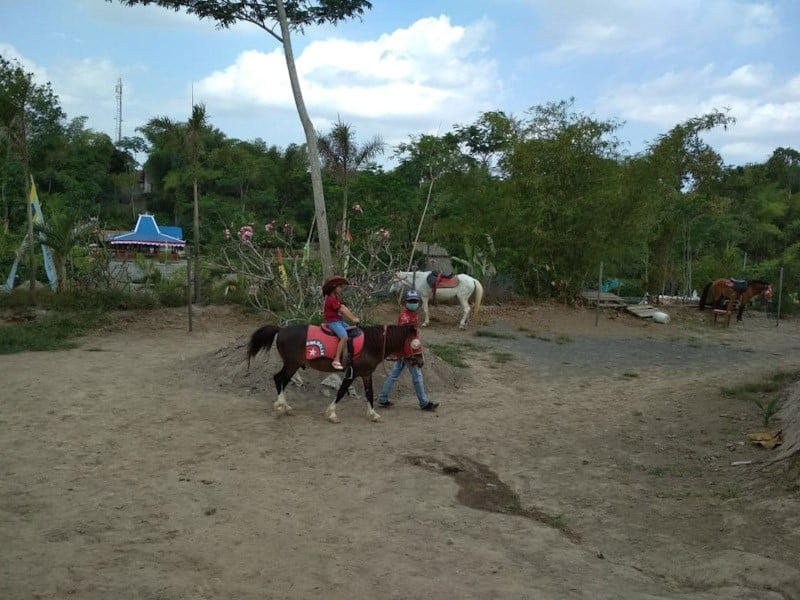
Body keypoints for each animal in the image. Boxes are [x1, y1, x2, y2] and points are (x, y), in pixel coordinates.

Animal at [247, 324, 416, 422]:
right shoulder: (352, 374)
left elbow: (369, 393)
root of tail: (281, 329)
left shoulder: (366, 374)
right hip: (291, 365)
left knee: (281, 380)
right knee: (279, 379)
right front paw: (332, 413)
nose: (419, 362)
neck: (369, 344)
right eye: (415, 343)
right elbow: (341, 392)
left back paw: (285, 406)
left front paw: (373, 414)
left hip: (292, 365)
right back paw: (282, 406)